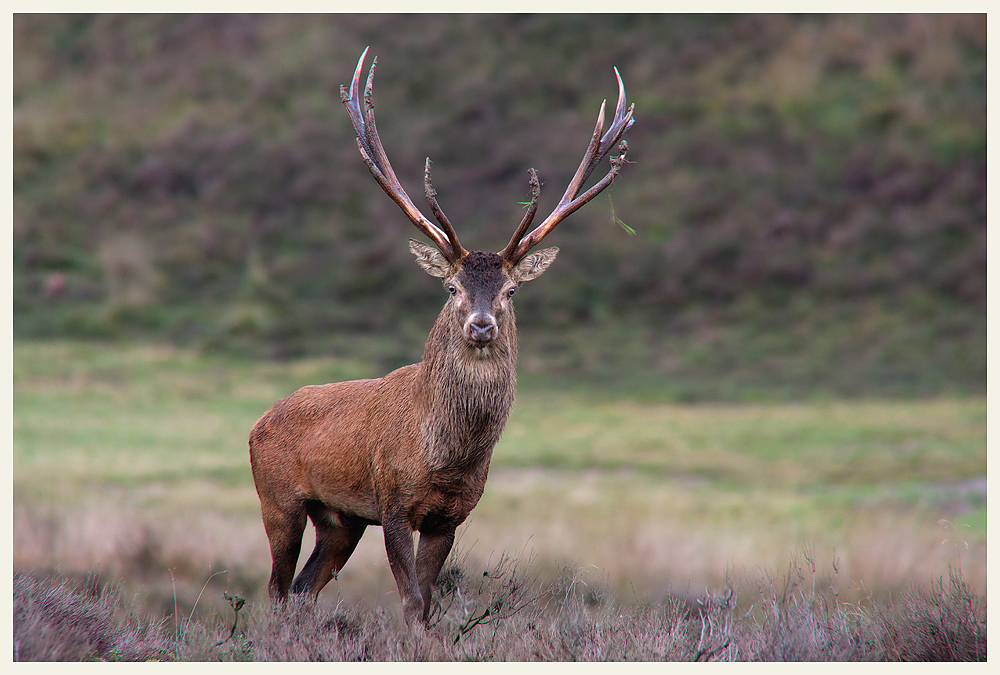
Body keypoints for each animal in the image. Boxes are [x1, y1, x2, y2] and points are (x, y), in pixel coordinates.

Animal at [249, 47, 634, 627]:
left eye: (511, 290)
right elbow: (410, 601)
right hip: (279, 500)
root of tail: (258, 422)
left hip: (340, 518)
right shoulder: (390, 501)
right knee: (274, 589)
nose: (481, 324)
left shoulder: (449, 517)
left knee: (302, 588)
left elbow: (427, 603)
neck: (445, 457)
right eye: (452, 286)